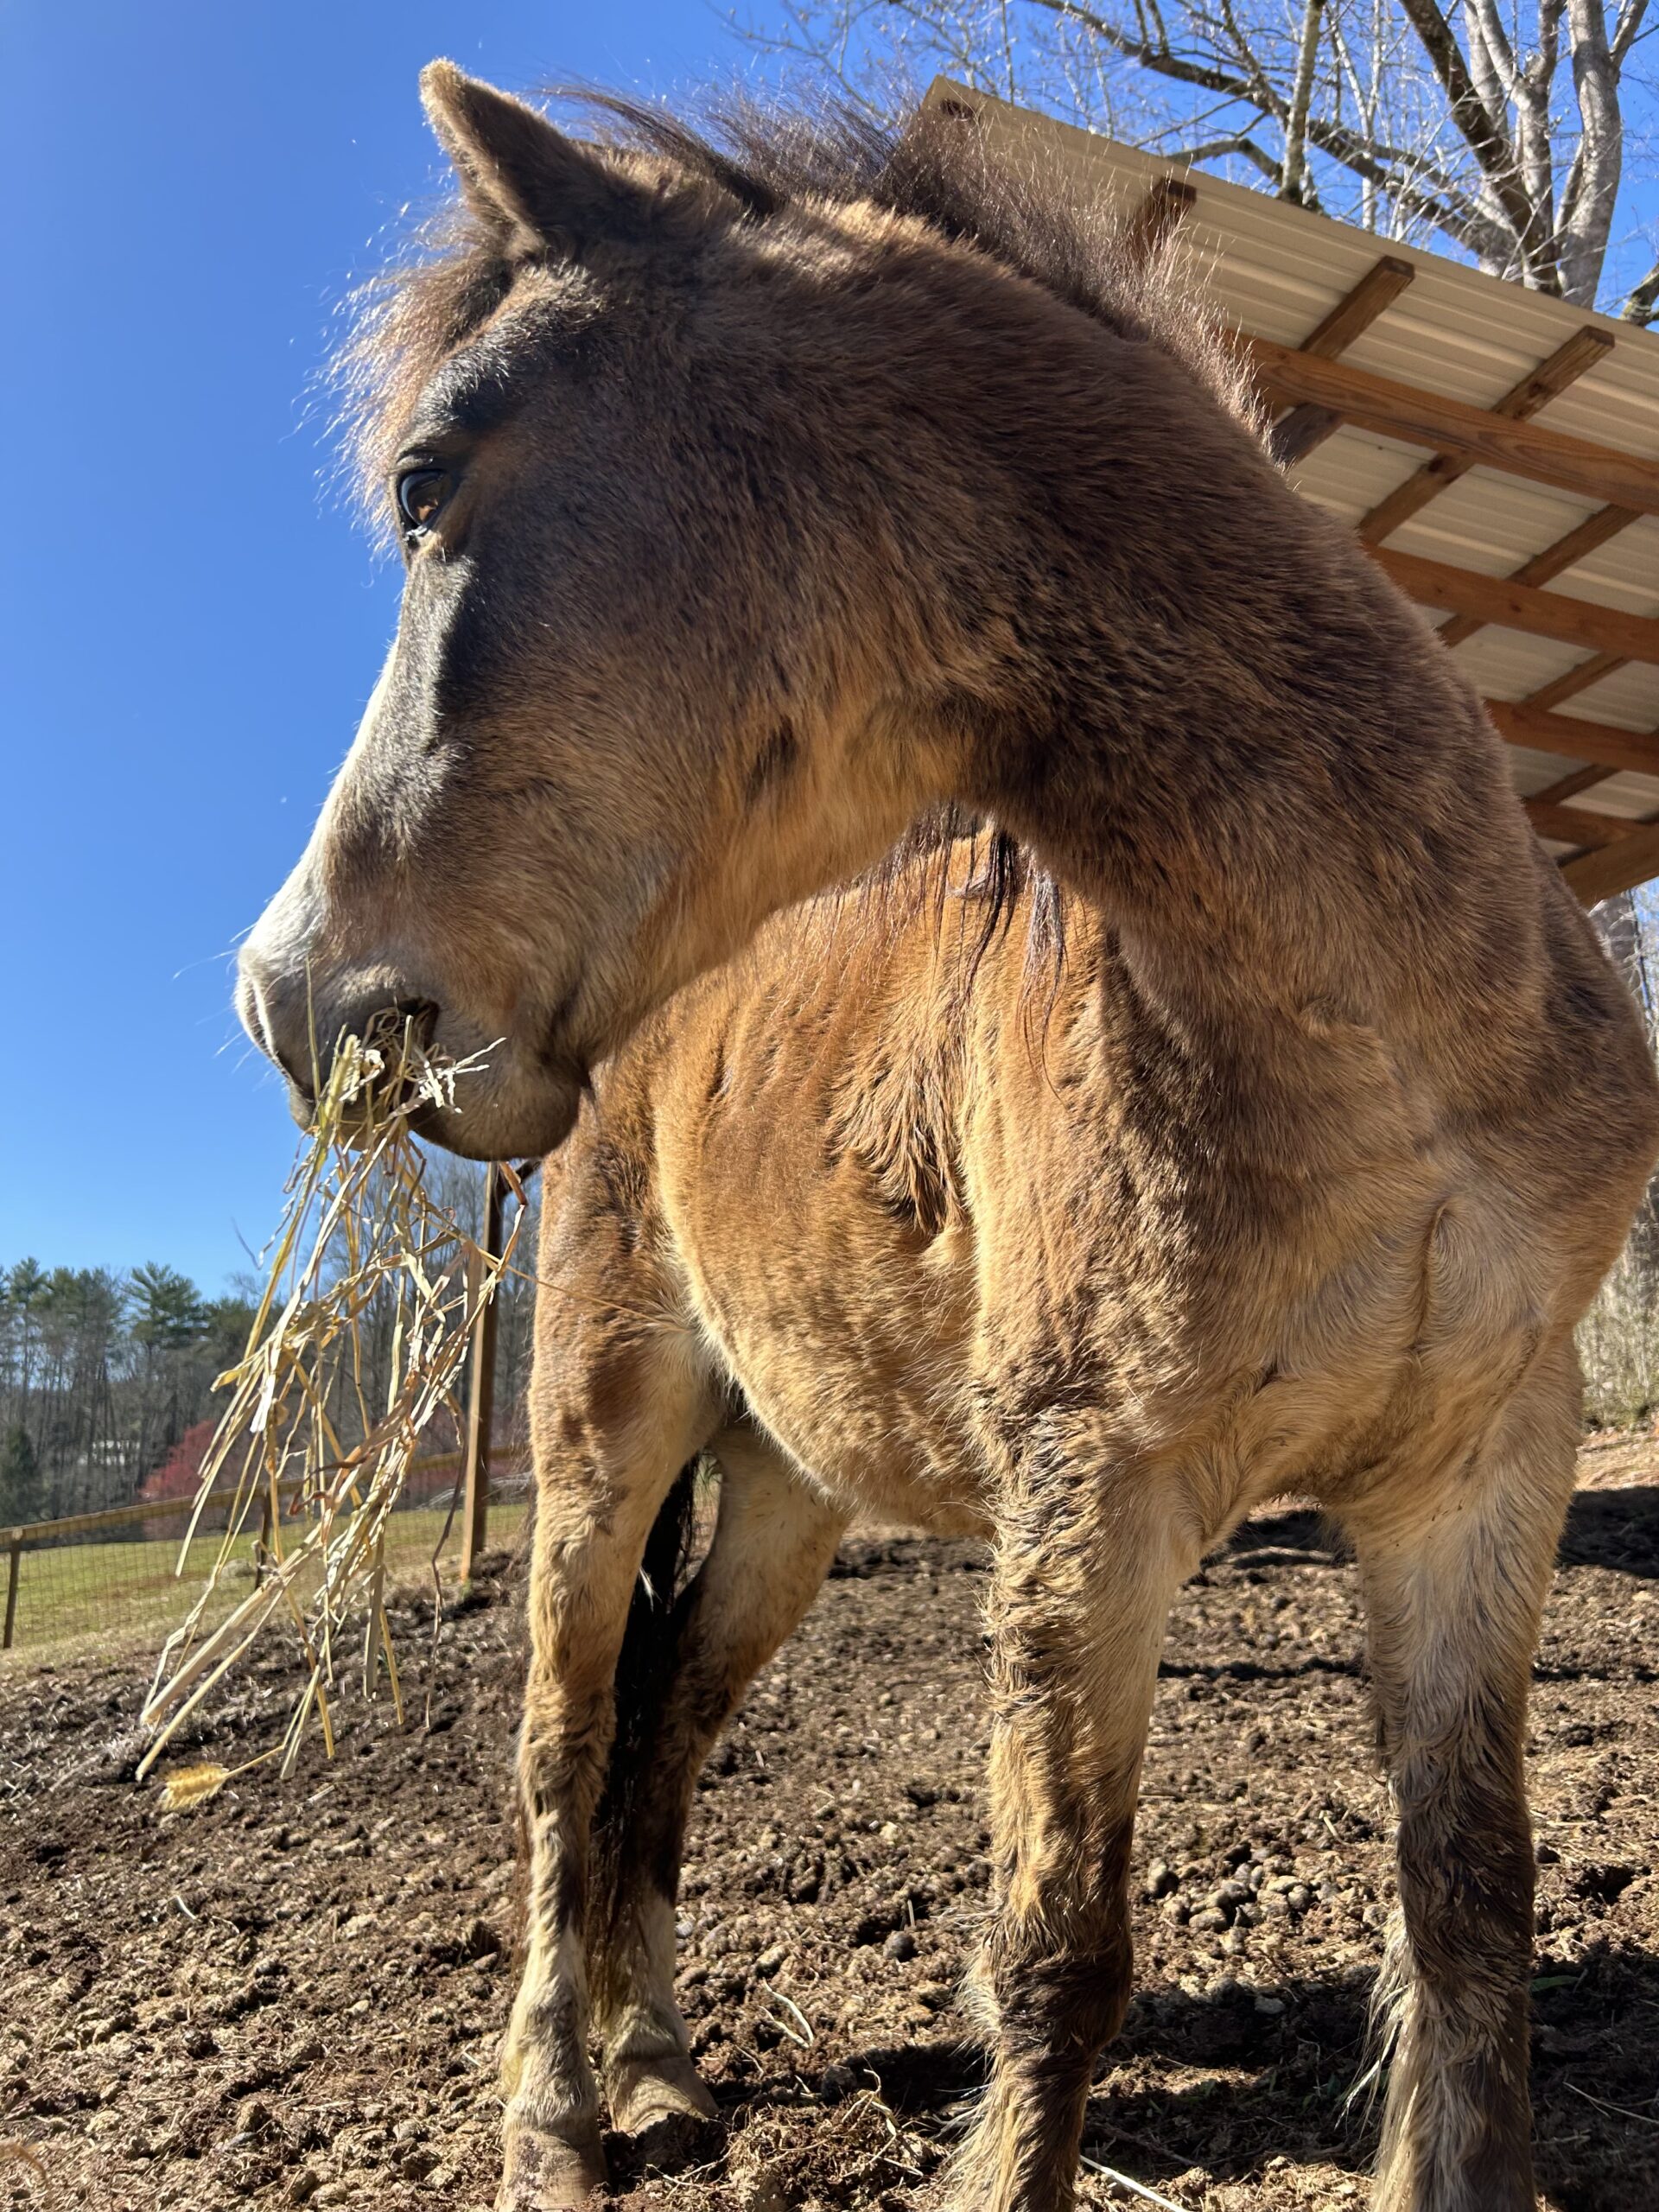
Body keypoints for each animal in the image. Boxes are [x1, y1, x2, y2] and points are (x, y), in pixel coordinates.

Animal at [235, 65, 1659, 2212]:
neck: (1380, 1033)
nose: (295, 996)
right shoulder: (1097, 1499)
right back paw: (557, 2116)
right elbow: (1060, 1943)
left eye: (424, 479)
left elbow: (1471, 1896)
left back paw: (662, 2063)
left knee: (664, 1738)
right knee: (563, 1752)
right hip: (605, 1441)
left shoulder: (1481, 1474)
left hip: (784, 1495)